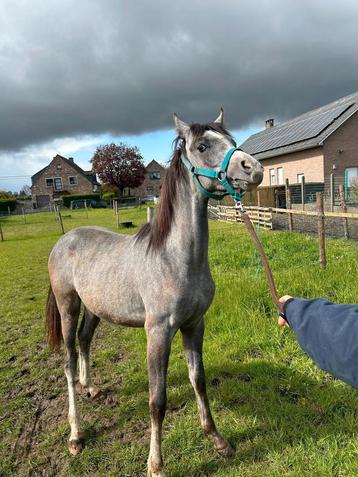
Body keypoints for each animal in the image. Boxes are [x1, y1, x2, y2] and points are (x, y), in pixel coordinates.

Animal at [45, 109, 262, 474]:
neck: (175, 258)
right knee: (69, 361)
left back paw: (91, 388)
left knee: (86, 341)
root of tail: (63, 240)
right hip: (68, 306)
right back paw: (75, 435)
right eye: (202, 146)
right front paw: (156, 463)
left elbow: (198, 380)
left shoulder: (194, 325)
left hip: (95, 308)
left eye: (232, 141)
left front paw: (218, 440)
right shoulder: (158, 332)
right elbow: (157, 400)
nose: (254, 169)